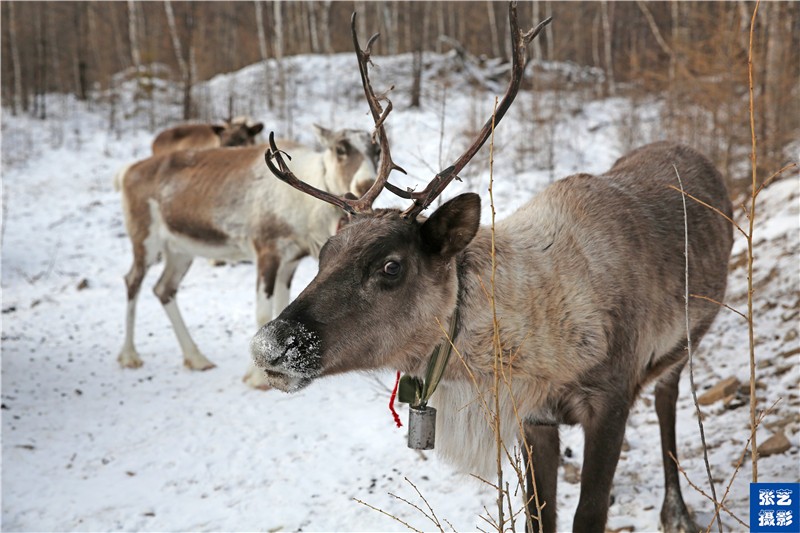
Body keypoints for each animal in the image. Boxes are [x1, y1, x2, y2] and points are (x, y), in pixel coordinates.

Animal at [116, 124, 380, 389]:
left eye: (376, 150)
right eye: (340, 149)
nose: (365, 183)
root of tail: (127, 172)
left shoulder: (291, 259)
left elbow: (282, 306)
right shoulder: (266, 250)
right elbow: (263, 311)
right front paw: (256, 378)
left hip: (180, 250)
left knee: (163, 289)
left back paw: (197, 358)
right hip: (146, 241)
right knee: (132, 281)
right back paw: (129, 355)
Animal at [250, 4, 733, 532]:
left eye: (391, 267)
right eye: (324, 253)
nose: (269, 344)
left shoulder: (610, 400)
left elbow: (589, 513)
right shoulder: (534, 418)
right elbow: (540, 516)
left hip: (687, 339)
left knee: (667, 402)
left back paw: (676, 511)